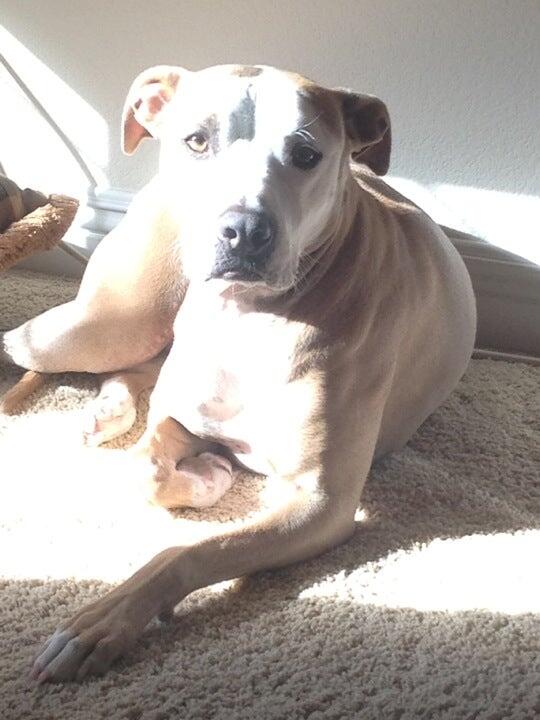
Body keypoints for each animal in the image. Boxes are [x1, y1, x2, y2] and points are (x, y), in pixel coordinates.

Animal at [0, 64, 476, 682]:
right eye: (197, 141)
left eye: (306, 153)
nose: (244, 231)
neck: (245, 319)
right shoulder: (183, 412)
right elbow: (144, 466)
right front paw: (208, 474)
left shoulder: (321, 503)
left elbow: (189, 548)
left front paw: (107, 617)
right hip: (105, 323)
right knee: (45, 350)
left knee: (133, 369)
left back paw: (107, 411)